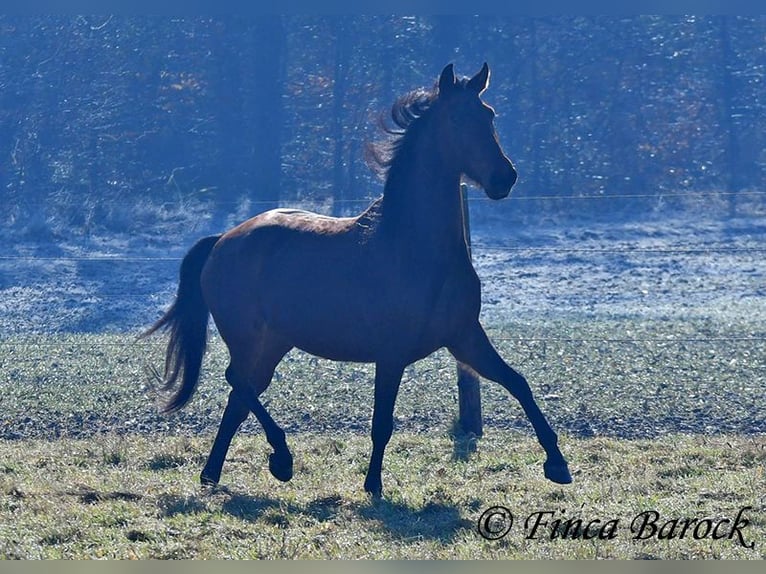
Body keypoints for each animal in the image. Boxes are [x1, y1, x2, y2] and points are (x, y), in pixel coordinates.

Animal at [144, 63, 572, 500]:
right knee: (238, 384)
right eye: (457, 119)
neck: (415, 249)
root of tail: (222, 240)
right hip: (248, 338)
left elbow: (518, 383)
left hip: (272, 344)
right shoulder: (392, 353)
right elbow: (382, 421)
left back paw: (214, 474)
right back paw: (281, 458)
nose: (505, 178)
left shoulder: (465, 336)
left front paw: (557, 463)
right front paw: (373, 485)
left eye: (489, 115)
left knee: (238, 397)